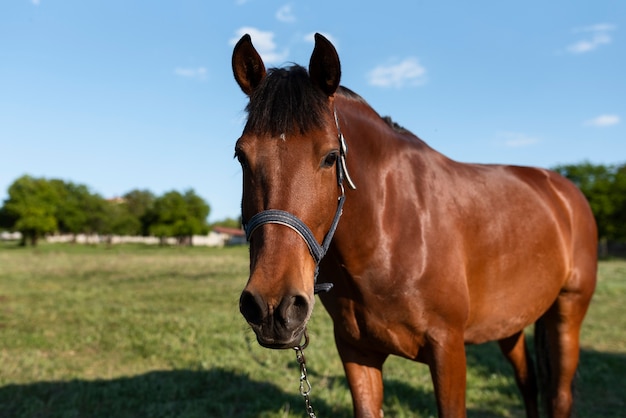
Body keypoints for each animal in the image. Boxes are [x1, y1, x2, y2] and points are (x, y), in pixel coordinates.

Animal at [229, 33, 596, 418]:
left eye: (330, 157)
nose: (273, 307)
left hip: (567, 313)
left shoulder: (448, 350)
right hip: (509, 323)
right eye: (242, 156)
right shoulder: (357, 352)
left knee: (559, 395)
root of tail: (564, 190)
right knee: (528, 383)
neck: (390, 232)